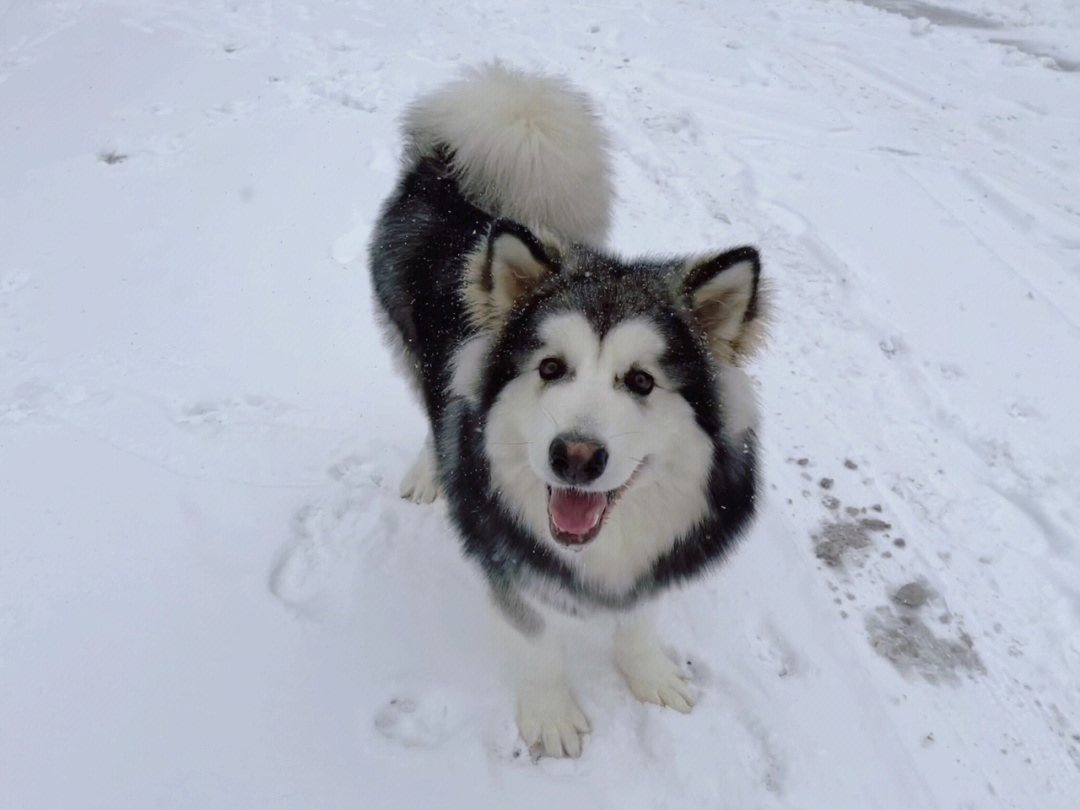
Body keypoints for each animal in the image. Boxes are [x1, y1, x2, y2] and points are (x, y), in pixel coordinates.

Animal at [371, 65, 768, 760]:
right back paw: (428, 472)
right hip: (413, 343)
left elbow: (639, 617)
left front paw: (648, 674)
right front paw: (550, 715)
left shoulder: (657, 554)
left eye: (641, 381)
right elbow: (537, 638)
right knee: (432, 406)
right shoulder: (503, 551)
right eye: (551, 368)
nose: (574, 458)